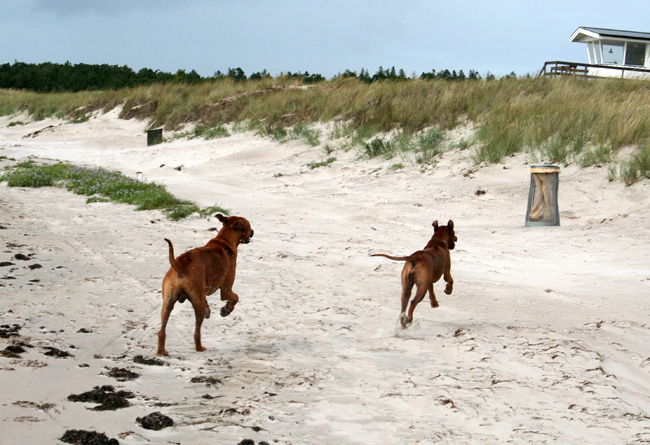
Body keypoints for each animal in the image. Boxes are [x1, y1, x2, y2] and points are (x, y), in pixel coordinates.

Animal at [157, 213, 253, 356]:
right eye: (249, 226)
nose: (253, 232)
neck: (224, 240)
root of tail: (180, 265)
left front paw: (211, 309)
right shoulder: (226, 290)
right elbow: (235, 298)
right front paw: (226, 309)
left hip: (168, 302)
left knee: (161, 331)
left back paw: (161, 351)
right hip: (198, 303)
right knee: (196, 332)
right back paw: (199, 347)